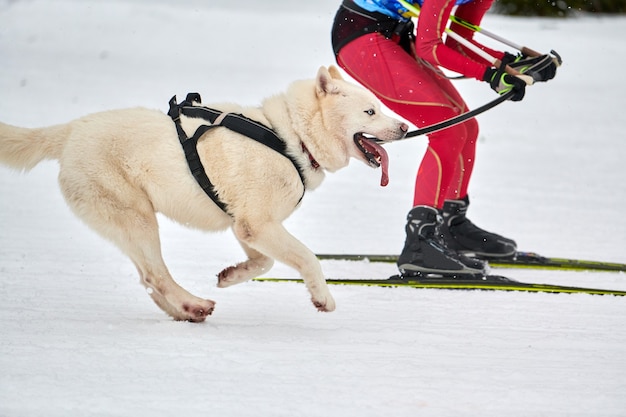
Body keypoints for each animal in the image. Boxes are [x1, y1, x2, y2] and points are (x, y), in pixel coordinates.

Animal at [0, 66, 408, 322]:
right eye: (370, 111)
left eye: (379, 106)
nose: (405, 128)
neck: (290, 137)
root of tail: (70, 130)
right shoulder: (258, 224)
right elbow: (307, 257)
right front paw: (323, 297)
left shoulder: (246, 226)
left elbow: (265, 264)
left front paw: (230, 275)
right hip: (137, 220)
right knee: (156, 276)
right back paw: (192, 304)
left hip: (129, 223)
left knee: (148, 279)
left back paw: (183, 312)